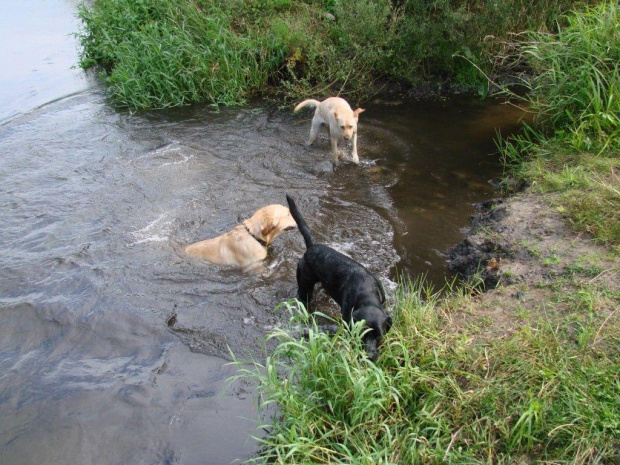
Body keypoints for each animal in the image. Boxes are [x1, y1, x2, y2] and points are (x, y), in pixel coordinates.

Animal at [284, 194, 390, 360]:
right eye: (361, 333)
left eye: (379, 335)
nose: (369, 356)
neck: (366, 294)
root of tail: (312, 246)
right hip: (305, 287)